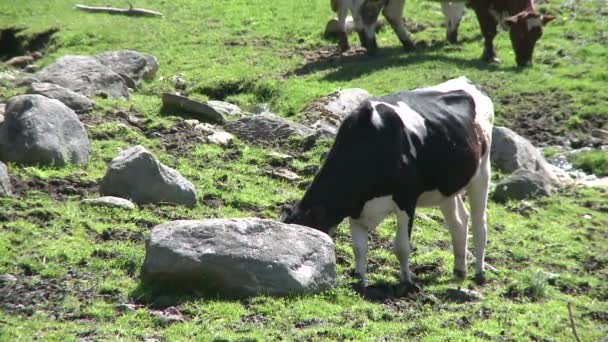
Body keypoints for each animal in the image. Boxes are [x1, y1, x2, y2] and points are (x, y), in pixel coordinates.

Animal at [282, 77, 496, 288]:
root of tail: (467, 81)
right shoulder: (355, 207)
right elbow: (359, 247)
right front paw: (360, 280)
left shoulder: (406, 198)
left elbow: (401, 246)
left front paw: (407, 282)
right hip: (446, 186)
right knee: (459, 221)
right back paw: (459, 270)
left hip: (482, 173)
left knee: (479, 224)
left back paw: (479, 273)